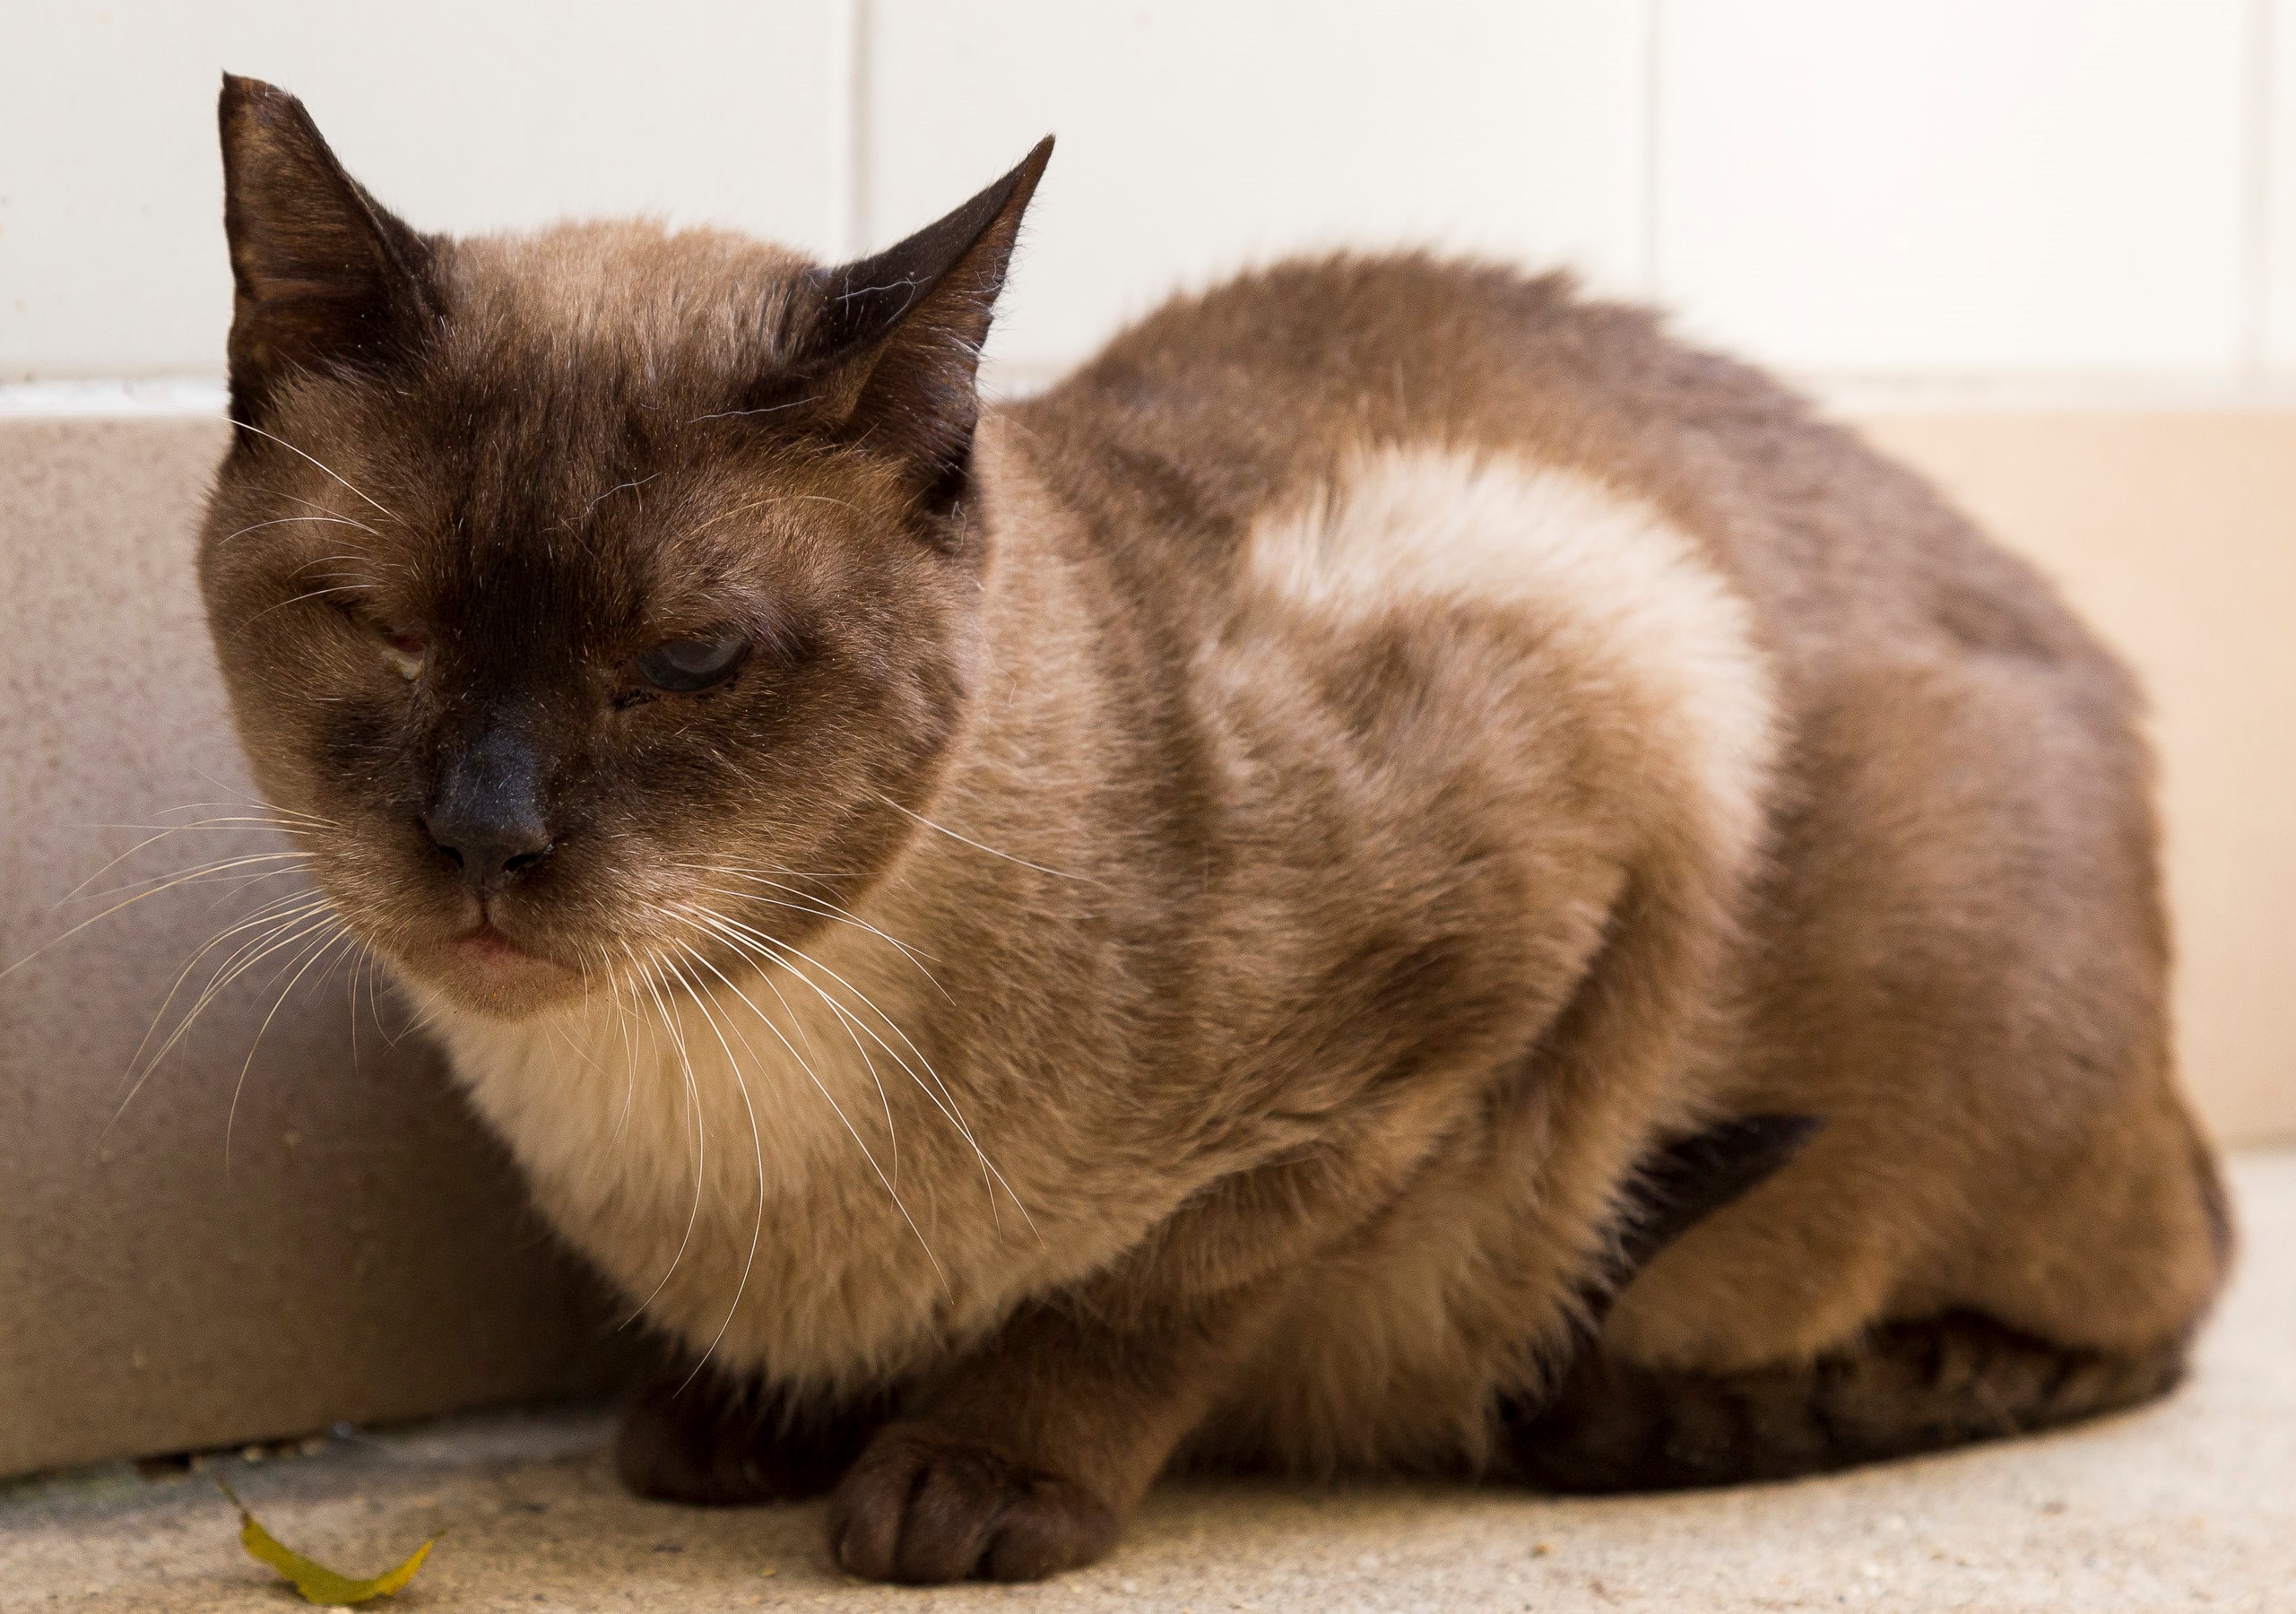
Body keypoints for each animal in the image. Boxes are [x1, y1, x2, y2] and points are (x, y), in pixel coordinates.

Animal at [206, 79, 2231, 1588]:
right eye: (383, 627)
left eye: (683, 664)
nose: (486, 838)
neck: (698, 1089)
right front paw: (746, 1424)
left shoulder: (1567, 789)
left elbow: (1158, 1294)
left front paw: (963, 1475)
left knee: (2148, 1310)